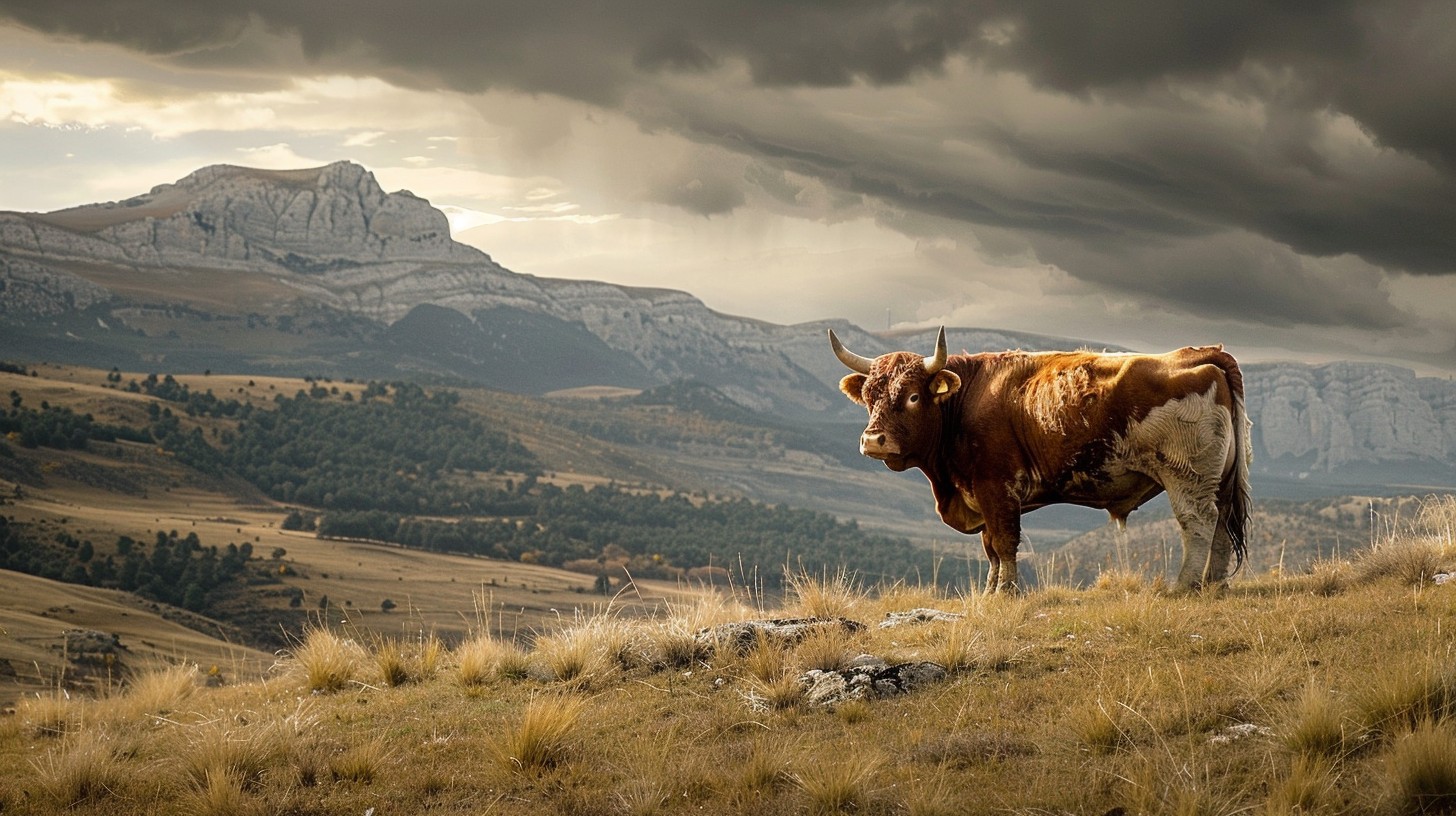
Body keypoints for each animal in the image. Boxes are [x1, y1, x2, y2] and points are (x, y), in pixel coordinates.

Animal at [829, 327, 1252, 594]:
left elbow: (1003, 542)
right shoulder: (983, 494)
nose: (873, 440)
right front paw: (990, 592)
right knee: (1220, 525)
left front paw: (1006, 592)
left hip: (1187, 477)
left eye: (914, 396)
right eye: (869, 396)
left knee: (1198, 523)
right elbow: (990, 547)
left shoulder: (996, 488)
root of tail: (1201, 353)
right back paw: (1214, 583)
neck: (966, 400)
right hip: (1218, 480)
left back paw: (1185, 585)